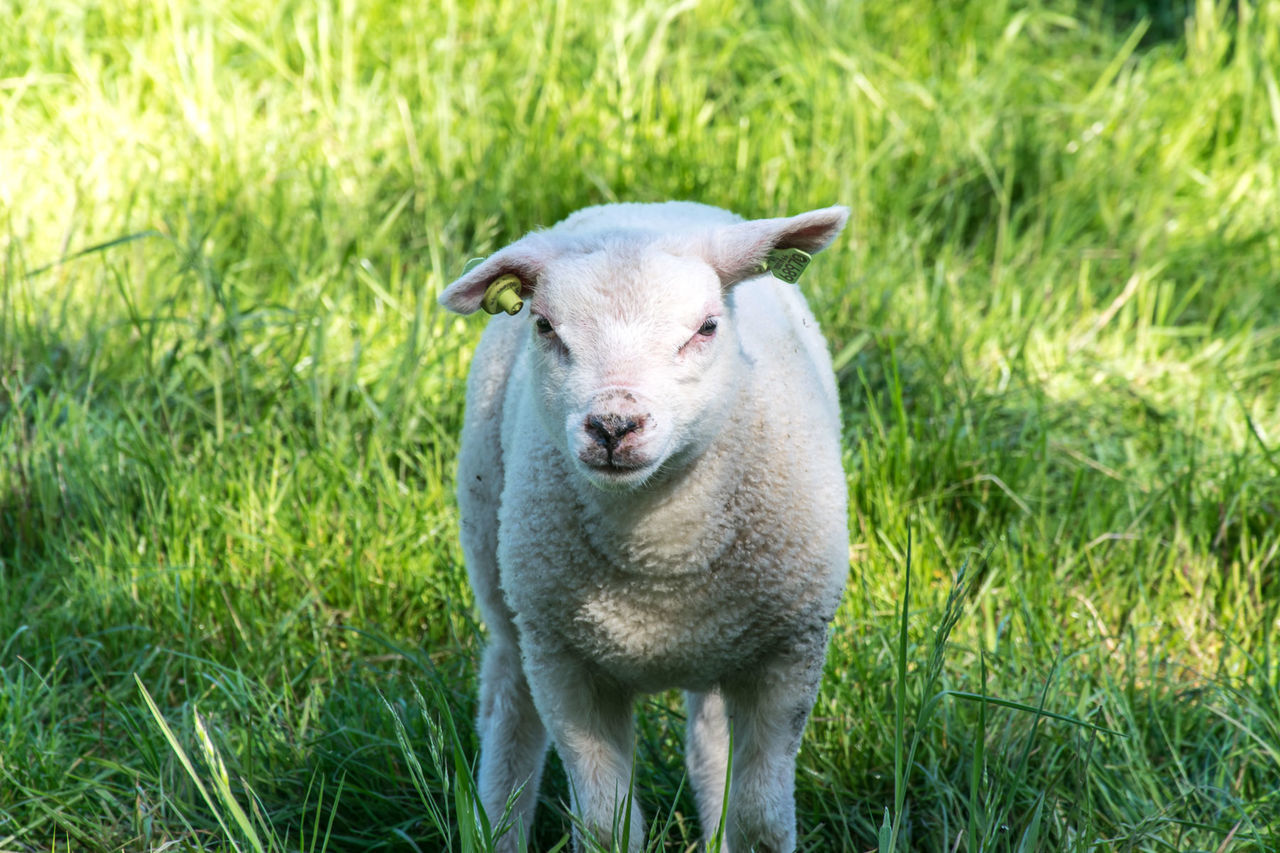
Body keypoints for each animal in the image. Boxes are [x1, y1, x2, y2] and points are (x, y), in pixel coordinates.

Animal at [440, 201, 849, 850]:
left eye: (706, 328)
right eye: (545, 326)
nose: (613, 425)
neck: (659, 559)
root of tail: (638, 207)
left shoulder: (789, 651)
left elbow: (760, 819)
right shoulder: (564, 663)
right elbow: (606, 825)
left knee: (709, 744)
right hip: (502, 577)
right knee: (509, 706)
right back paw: (496, 825)